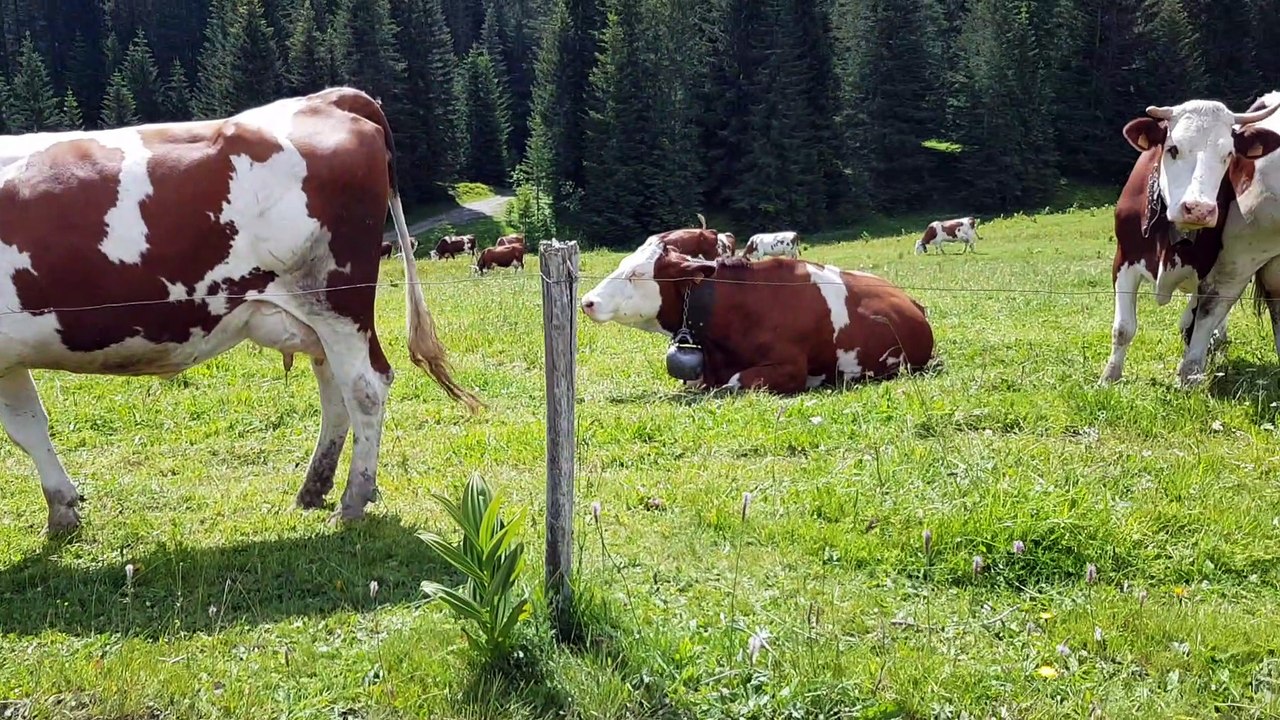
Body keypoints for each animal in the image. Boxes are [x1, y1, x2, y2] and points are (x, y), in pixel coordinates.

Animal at [0, 86, 483, 535]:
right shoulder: (8, 362)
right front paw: (62, 510)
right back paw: (314, 488)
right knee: (336, 392)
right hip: (316, 318)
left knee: (365, 389)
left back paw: (354, 498)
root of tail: (329, 98)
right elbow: (28, 427)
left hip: (336, 303)